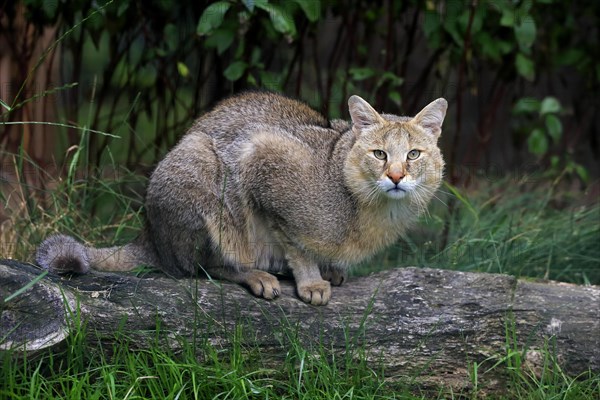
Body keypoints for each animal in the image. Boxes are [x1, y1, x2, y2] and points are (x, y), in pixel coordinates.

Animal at [34, 91, 446, 306]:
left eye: (413, 155)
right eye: (379, 154)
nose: (396, 175)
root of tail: (148, 235)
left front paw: (325, 269)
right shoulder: (261, 159)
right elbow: (295, 242)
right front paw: (311, 280)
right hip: (201, 172)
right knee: (199, 267)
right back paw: (255, 274)